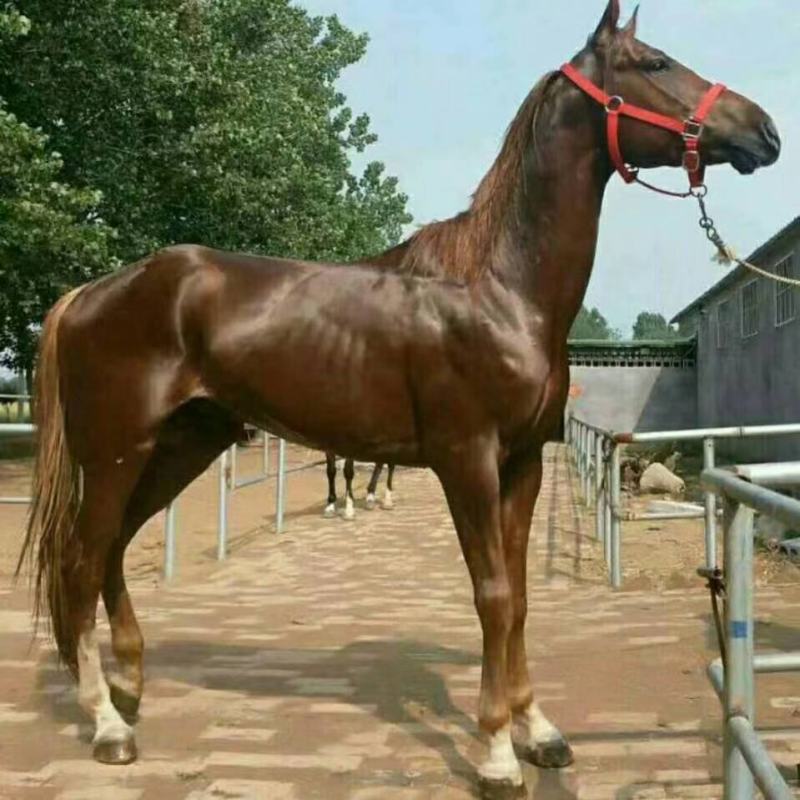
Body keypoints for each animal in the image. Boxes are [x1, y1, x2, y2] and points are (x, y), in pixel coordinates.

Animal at [17, 1, 779, 793]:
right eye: (655, 62)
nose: (763, 131)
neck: (500, 289)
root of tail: (90, 294)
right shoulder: (466, 462)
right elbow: (493, 595)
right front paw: (497, 753)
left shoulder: (524, 463)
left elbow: (520, 599)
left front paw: (538, 730)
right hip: (115, 453)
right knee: (79, 559)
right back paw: (107, 723)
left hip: (180, 447)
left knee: (109, 550)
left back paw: (129, 687)